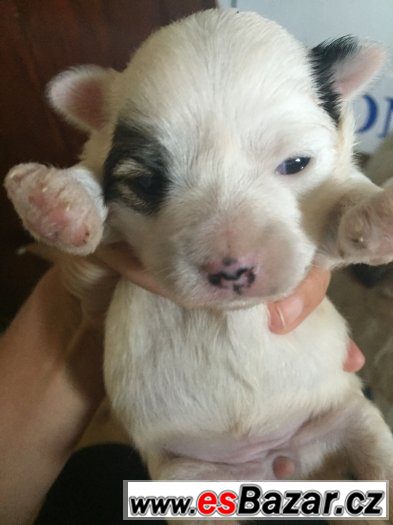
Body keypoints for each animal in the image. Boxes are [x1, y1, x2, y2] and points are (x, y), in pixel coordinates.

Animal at [4, 9, 392, 520]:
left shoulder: (321, 239)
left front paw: (380, 213)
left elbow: (344, 200)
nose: (233, 270)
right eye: (145, 183)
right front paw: (55, 199)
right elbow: (89, 180)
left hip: (354, 419)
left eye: (296, 163)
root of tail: (276, 462)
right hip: (186, 475)